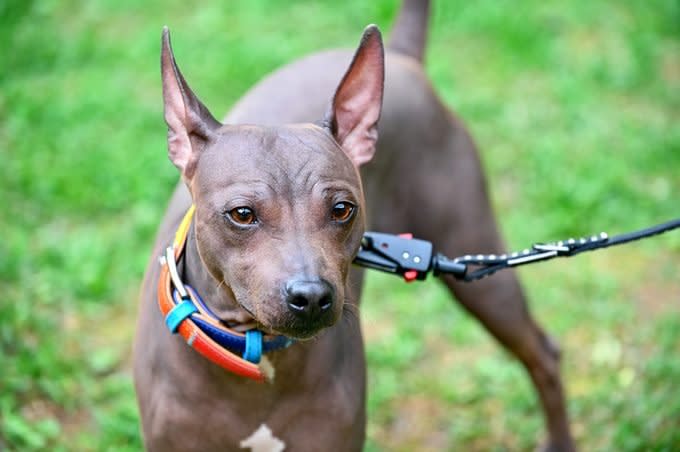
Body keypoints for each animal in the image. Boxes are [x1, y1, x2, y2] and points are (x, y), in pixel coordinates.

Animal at [135, 1, 576, 450]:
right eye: (242, 214)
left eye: (342, 209)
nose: (312, 296)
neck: (261, 353)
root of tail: (401, 57)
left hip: (477, 264)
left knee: (543, 354)